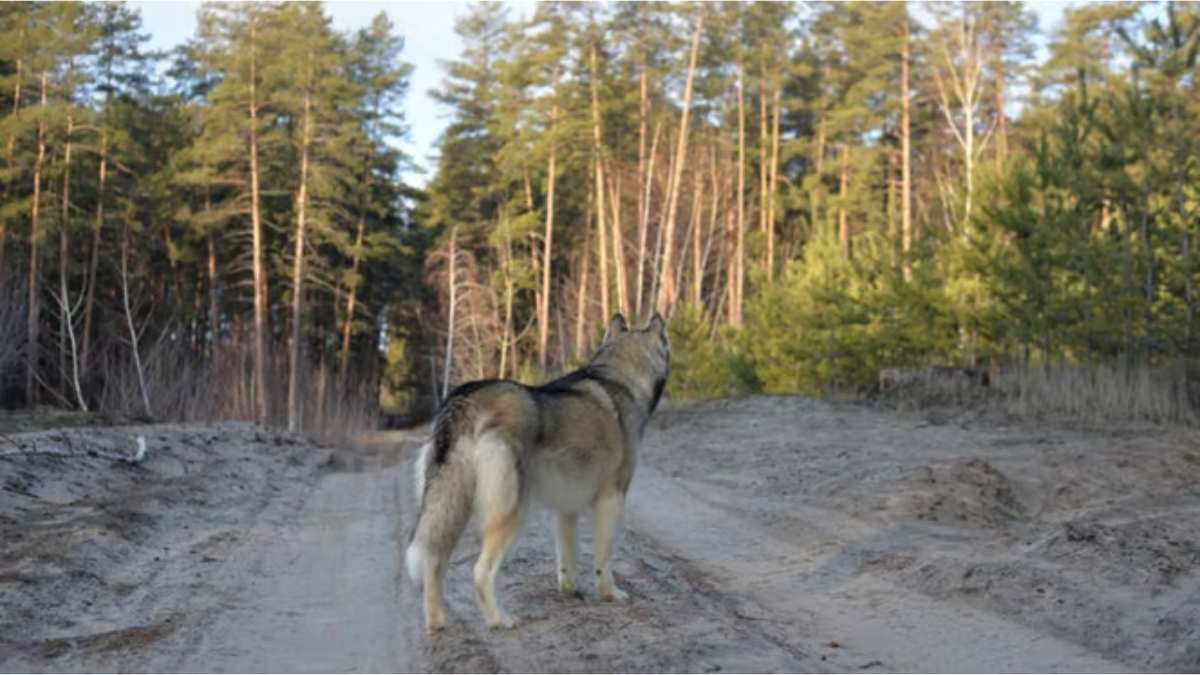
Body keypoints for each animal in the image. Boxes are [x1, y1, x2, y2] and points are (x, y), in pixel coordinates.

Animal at [403, 309, 667, 629]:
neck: (619, 377)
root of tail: (464, 399)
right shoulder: (611, 500)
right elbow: (603, 560)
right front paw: (610, 594)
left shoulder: (566, 510)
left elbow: (567, 561)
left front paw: (570, 591)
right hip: (511, 513)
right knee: (480, 572)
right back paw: (500, 620)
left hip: (448, 510)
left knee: (433, 564)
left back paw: (437, 624)